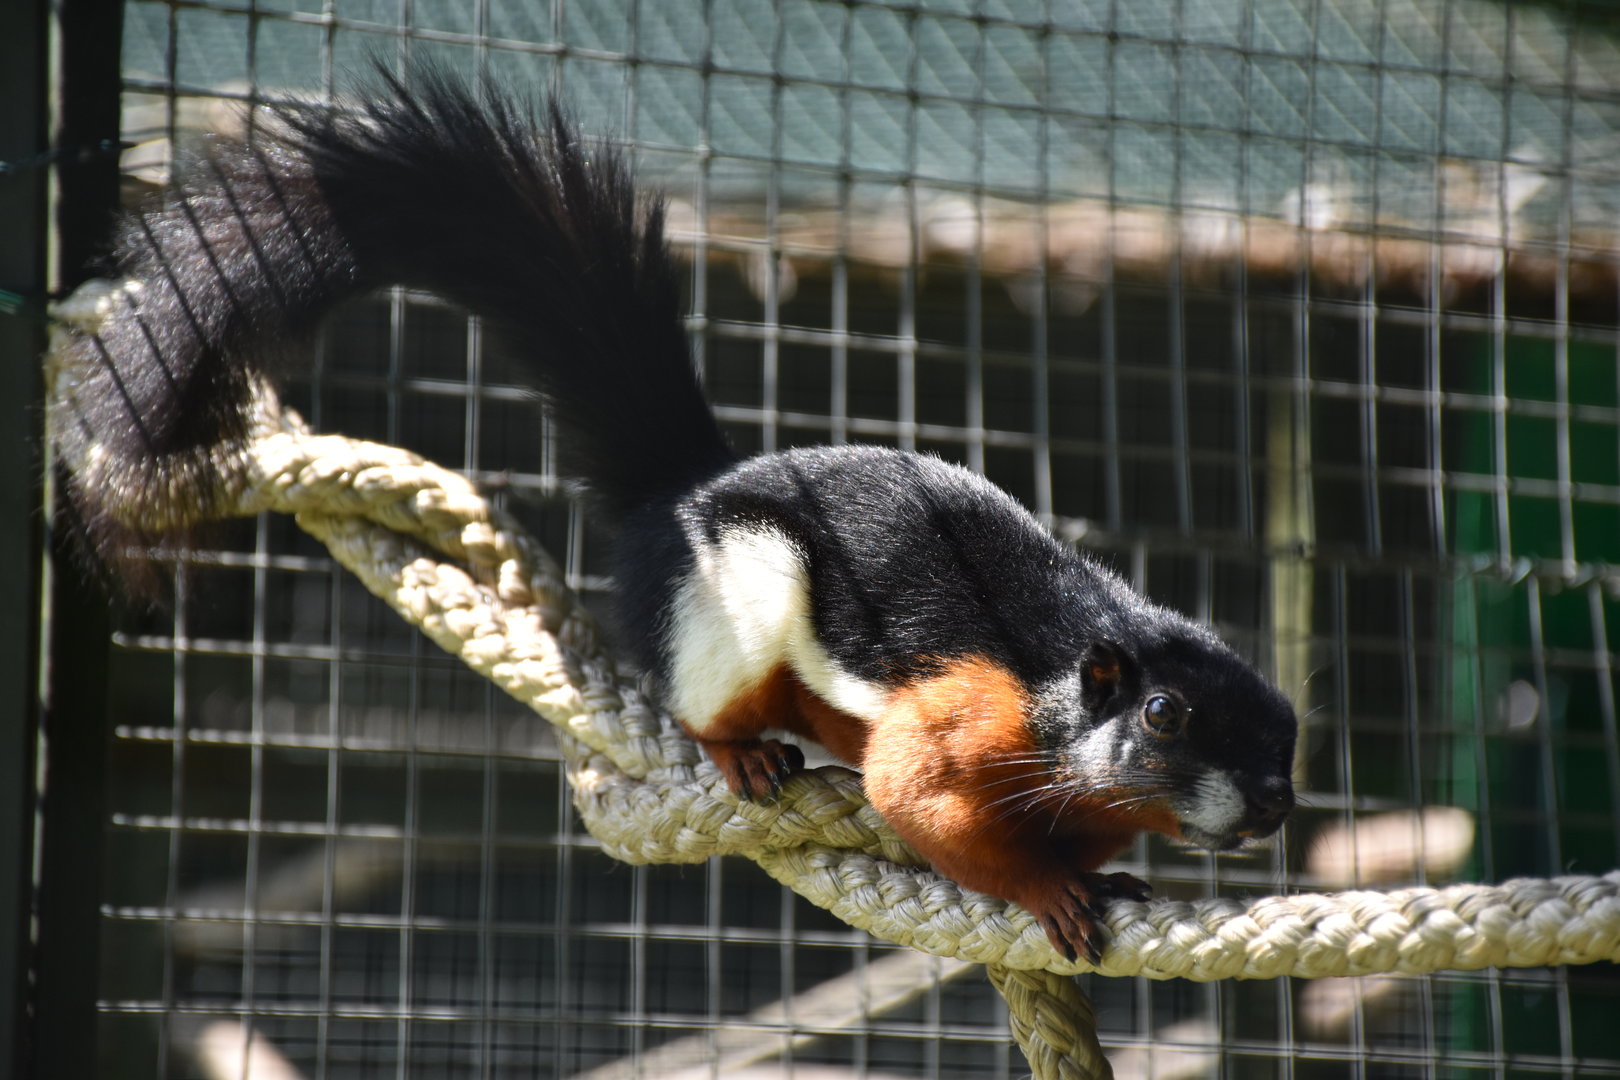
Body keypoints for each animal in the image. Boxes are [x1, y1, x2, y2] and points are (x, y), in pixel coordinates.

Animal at [48, 69, 1298, 963]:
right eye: (1168, 718)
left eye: (1291, 737)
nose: (1276, 806)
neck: (1067, 690)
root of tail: (679, 491)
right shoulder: (968, 712)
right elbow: (916, 796)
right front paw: (1051, 889)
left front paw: (1110, 872)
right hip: (731, 597)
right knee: (718, 699)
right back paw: (741, 754)